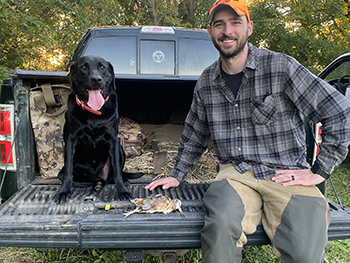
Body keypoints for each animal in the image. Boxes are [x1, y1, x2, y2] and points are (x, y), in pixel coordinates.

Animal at [52, 55, 140, 204]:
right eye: (83, 67)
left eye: (102, 67)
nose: (96, 79)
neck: (93, 111)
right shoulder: (70, 140)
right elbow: (68, 172)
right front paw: (63, 192)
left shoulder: (113, 140)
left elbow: (117, 171)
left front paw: (123, 191)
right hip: (65, 172)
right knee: (84, 179)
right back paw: (97, 183)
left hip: (120, 150)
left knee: (111, 177)